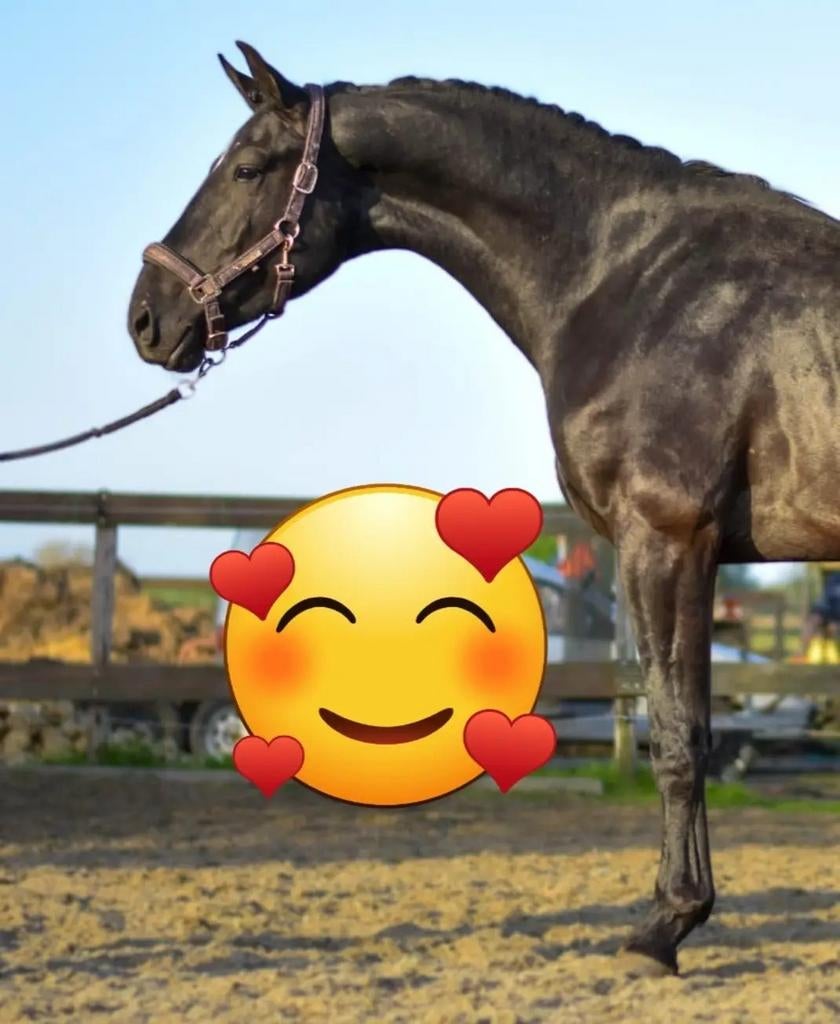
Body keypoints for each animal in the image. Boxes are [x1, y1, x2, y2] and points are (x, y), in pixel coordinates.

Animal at [127, 42, 840, 977]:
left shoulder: (668, 539)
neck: (627, 278)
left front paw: (667, 925)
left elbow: (679, 737)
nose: (147, 316)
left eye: (247, 167)